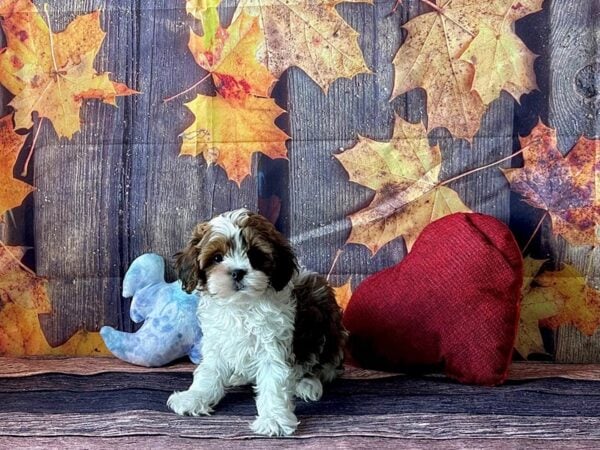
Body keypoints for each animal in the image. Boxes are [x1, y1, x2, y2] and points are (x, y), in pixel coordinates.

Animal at [168, 210, 346, 436]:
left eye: (255, 256)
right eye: (217, 257)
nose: (237, 272)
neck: (241, 305)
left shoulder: (275, 345)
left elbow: (274, 381)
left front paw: (274, 419)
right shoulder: (217, 341)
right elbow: (209, 371)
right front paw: (195, 397)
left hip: (326, 331)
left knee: (324, 367)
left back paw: (307, 383)